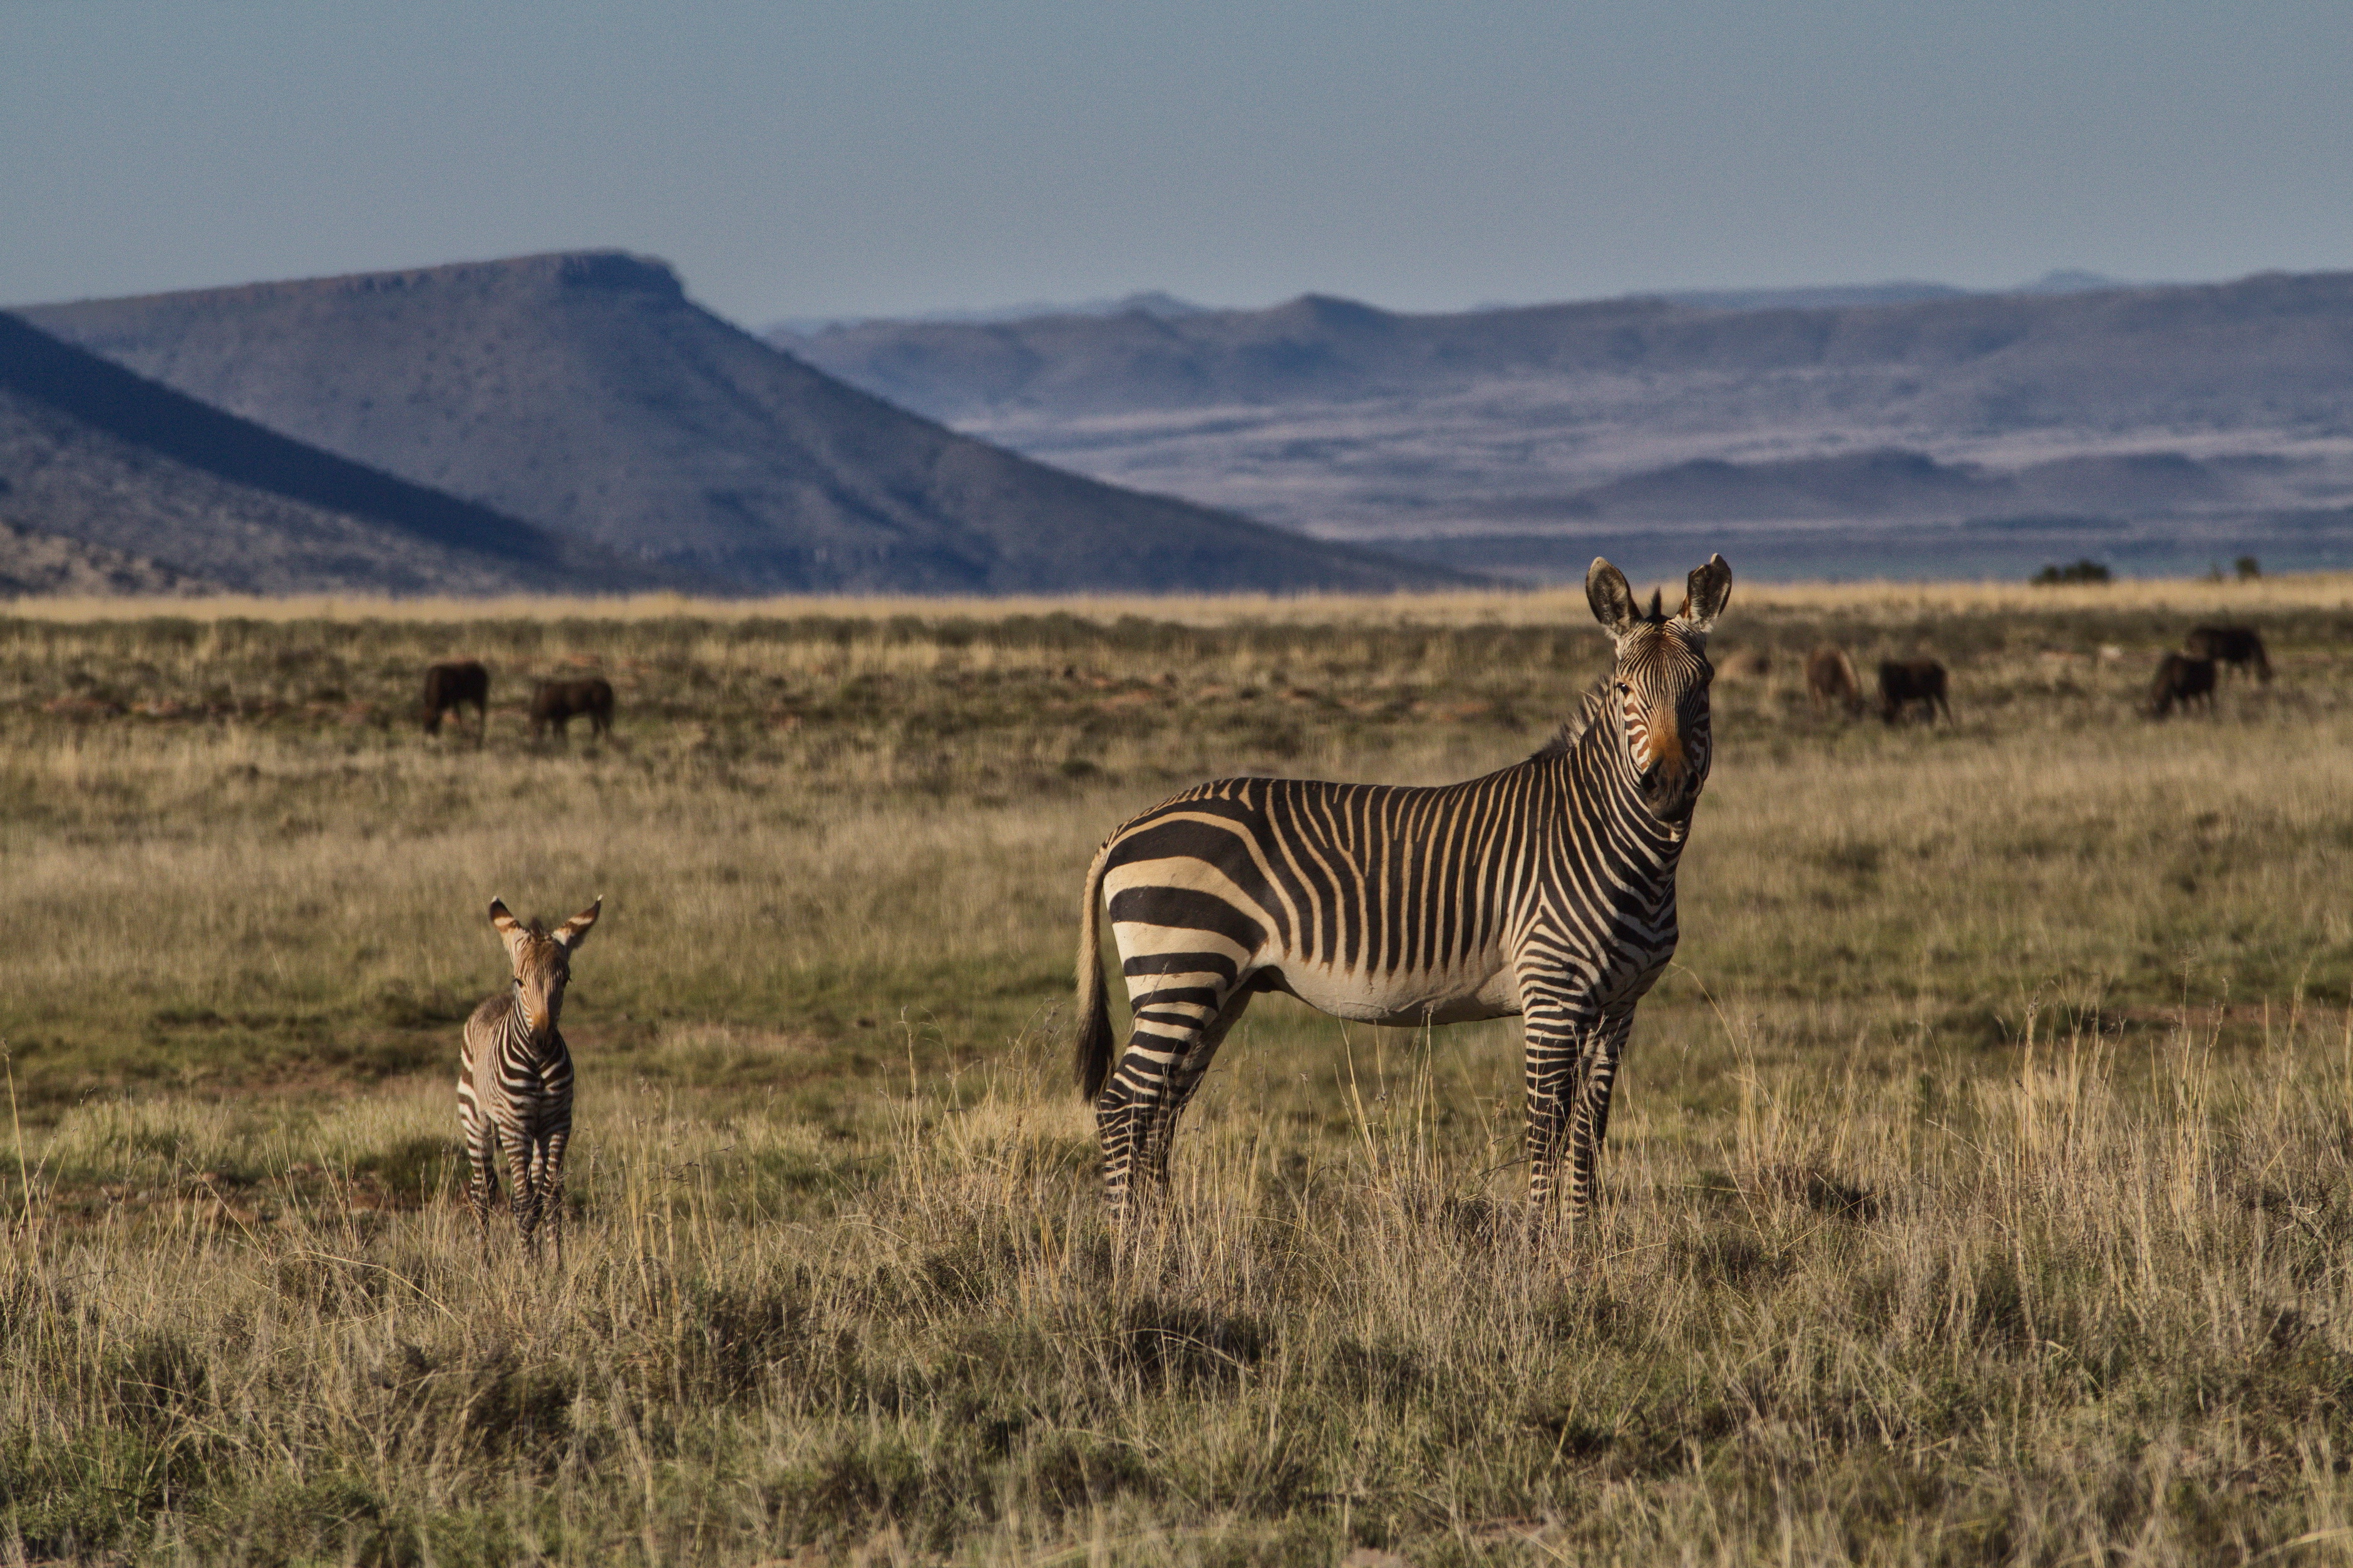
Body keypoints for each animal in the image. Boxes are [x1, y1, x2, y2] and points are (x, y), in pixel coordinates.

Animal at [458, 895, 600, 1264]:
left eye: (564, 981)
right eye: (520, 981)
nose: (541, 1039)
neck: (537, 1065)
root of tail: (494, 1000)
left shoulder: (558, 1123)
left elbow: (551, 1198)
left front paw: (556, 1265)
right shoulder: (515, 1125)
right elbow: (523, 1203)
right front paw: (530, 1269)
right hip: (476, 1121)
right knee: (483, 1190)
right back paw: (483, 1262)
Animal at [1073, 554, 1731, 1227]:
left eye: (1702, 687)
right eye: (1625, 689)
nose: (1668, 786)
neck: (1617, 846)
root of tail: (1126, 828)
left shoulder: (1620, 1006)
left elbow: (1589, 1132)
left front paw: (1581, 1236)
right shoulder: (1553, 994)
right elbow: (1546, 1130)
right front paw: (1543, 1244)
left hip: (1216, 989)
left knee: (1162, 1108)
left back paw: (1161, 1234)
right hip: (1182, 970)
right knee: (1123, 1105)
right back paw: (1127, 1239)